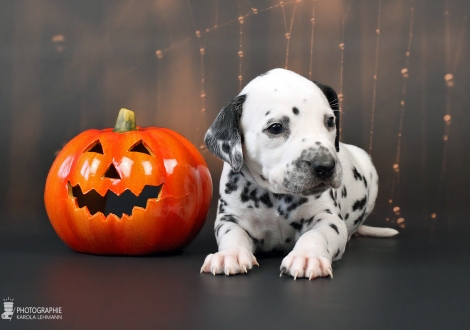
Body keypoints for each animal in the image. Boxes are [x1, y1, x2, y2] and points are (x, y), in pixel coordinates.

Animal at [200, 68, 398, 280]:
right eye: (275, 127)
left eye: (330, 121)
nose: (325, 166)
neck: (275, 197)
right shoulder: (230, 218)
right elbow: (232, 234)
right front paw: (230, 254)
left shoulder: (327, 218)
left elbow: (316, 234)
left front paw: (307, 256)